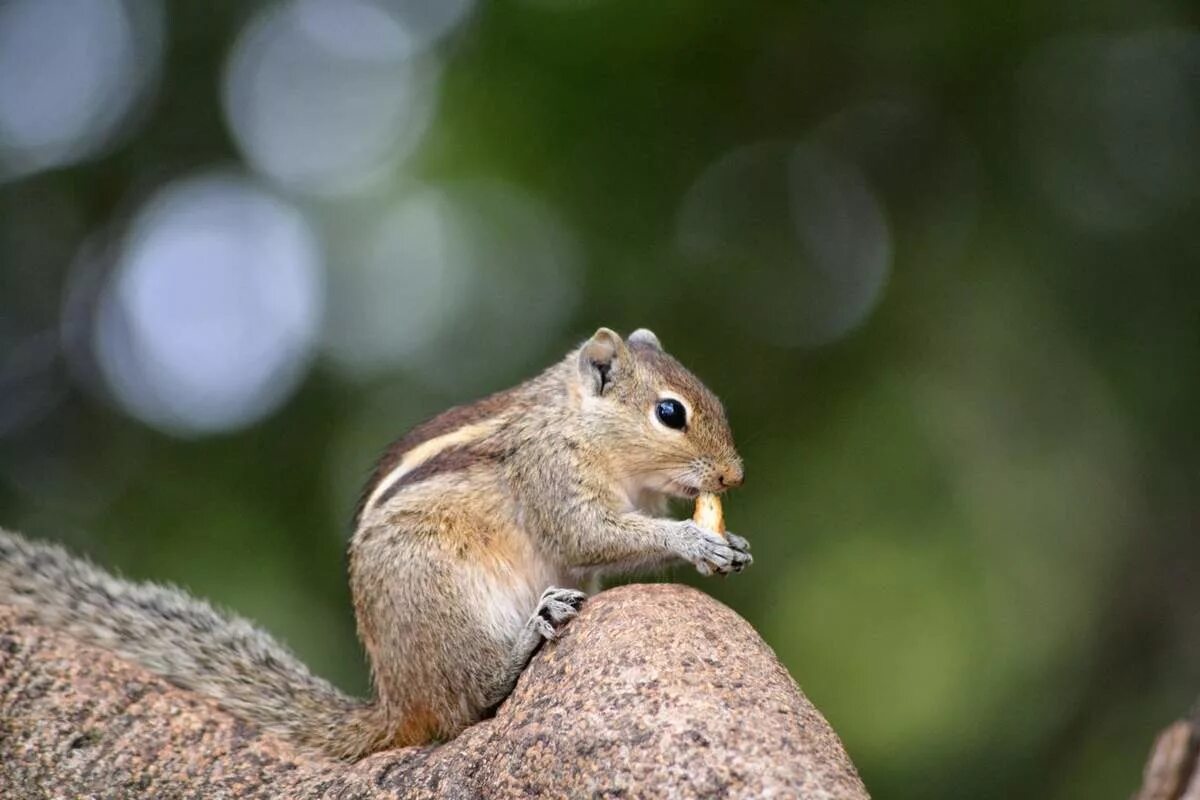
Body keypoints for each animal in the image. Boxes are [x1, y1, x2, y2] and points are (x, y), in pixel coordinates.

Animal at [0, 328, 748, 762]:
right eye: (670, 412)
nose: (734, 475)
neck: (575, 422)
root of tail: (394, 702)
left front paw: (727, 540)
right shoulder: (549, 475)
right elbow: (589, 535)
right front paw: (694, 538)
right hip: (438, 594)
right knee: (467, 703)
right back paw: (526, 638)